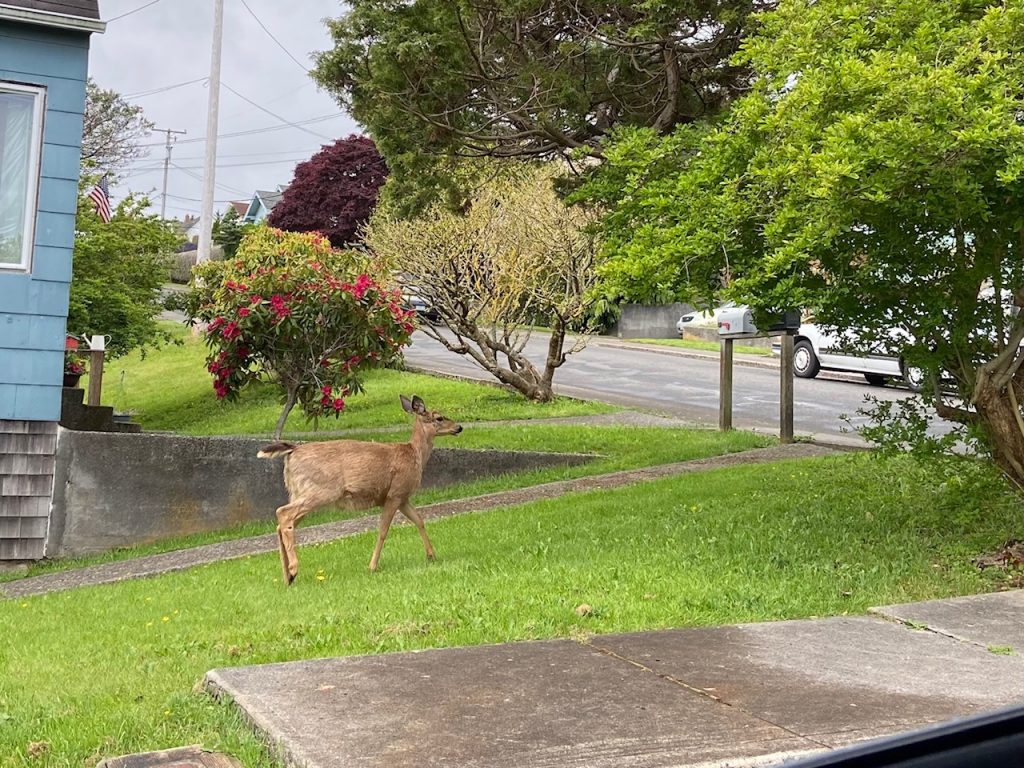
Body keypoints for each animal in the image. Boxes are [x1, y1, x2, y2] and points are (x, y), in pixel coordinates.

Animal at [257, 395, 462, 585]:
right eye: (439, 418)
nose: (459, 427)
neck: (415, 455)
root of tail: (292, 451)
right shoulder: (395, 493)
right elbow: (383, 529)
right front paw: (372, 566)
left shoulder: (403, 498)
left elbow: (419, 520)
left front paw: (432, 556)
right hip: (320, 491)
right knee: (282, 513)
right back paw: (293, 569)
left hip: (299, 492)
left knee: (282, 523)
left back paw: (287, 577)